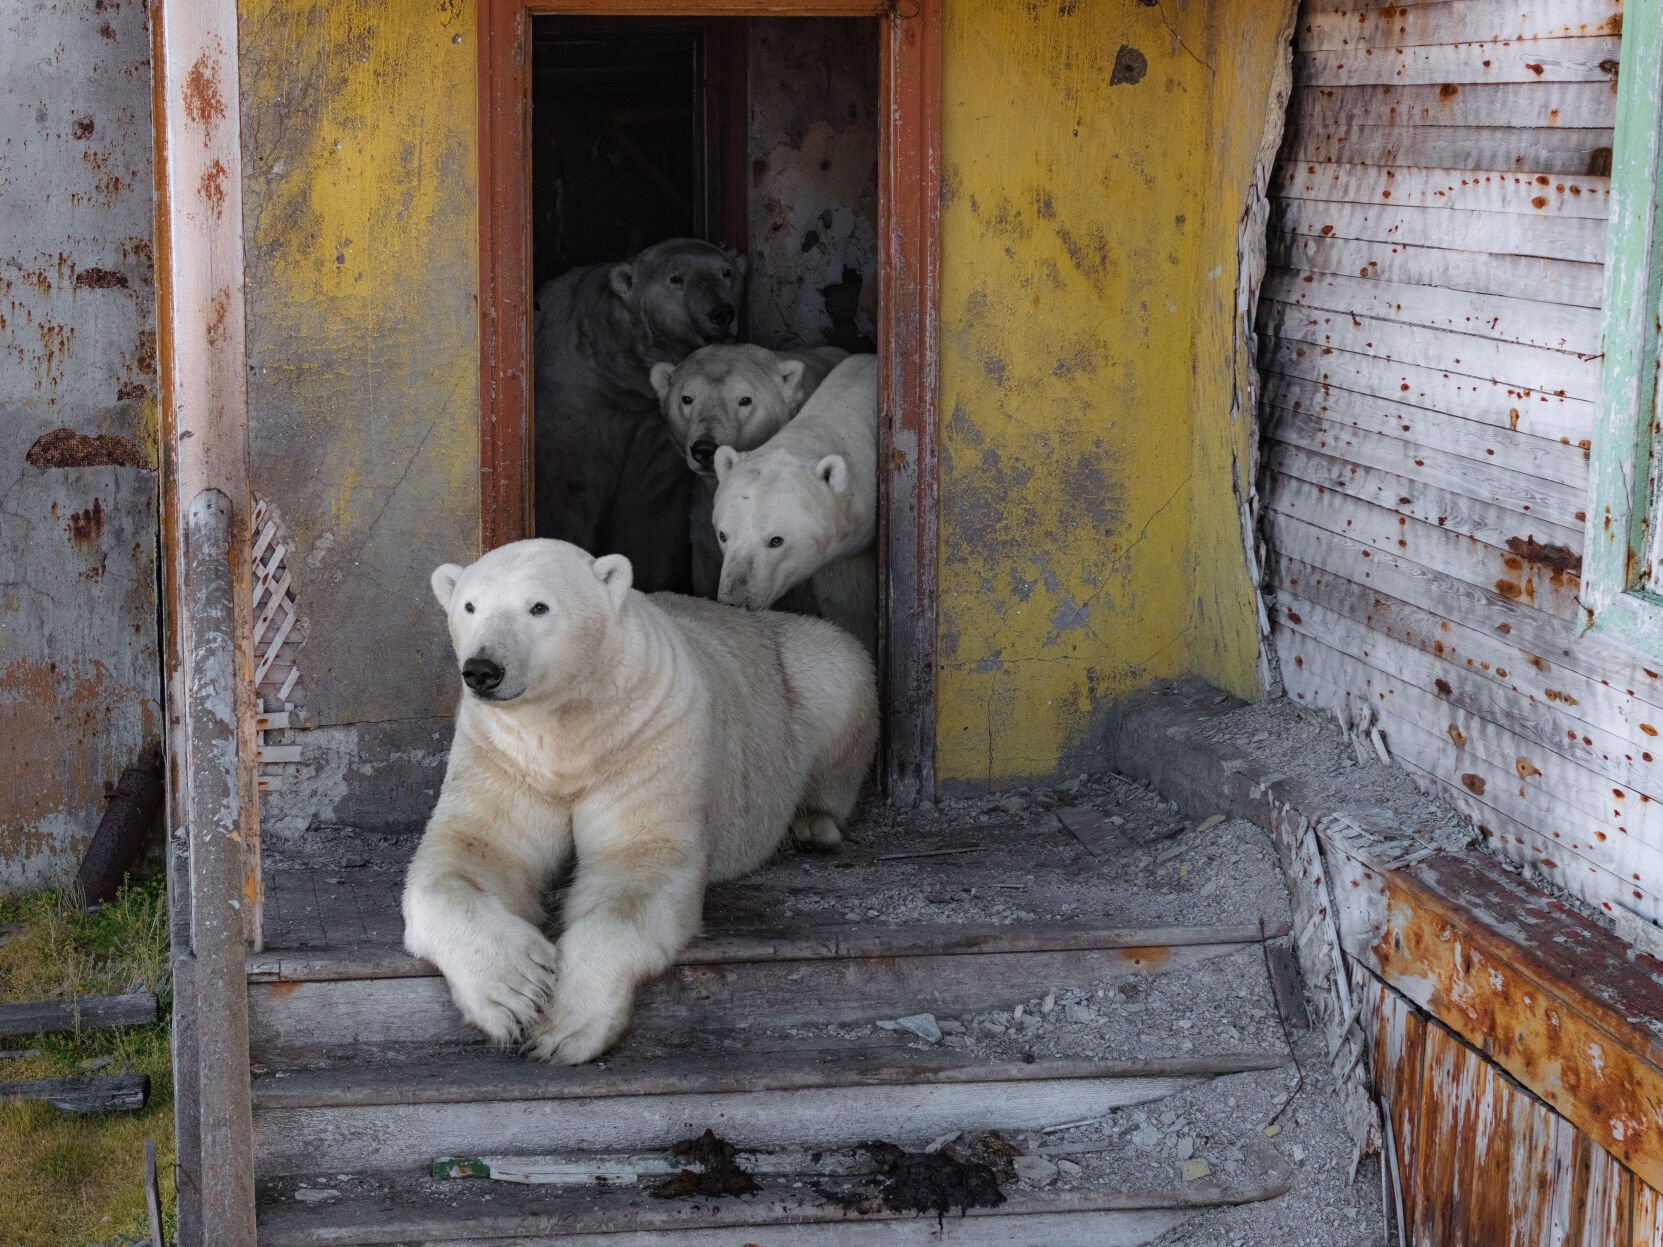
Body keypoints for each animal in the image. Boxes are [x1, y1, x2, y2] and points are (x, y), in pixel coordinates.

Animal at [401, 538, 878, 1064]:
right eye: (470, 606)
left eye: (538, 607)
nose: (483, 670)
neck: (570, 725)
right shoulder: (504, 753)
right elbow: (474, 850)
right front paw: (514, 991)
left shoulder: (645, 738)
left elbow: (636, 866)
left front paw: (565, 1027)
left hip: (805, 674)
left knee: (841, 675)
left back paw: (813, 826)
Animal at [533, 238, 747, 595]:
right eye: (676, 278)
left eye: (726, 272)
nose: (722, 312)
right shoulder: (578, 402)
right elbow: (568, 489)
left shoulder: (653, 426)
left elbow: (648, 509)